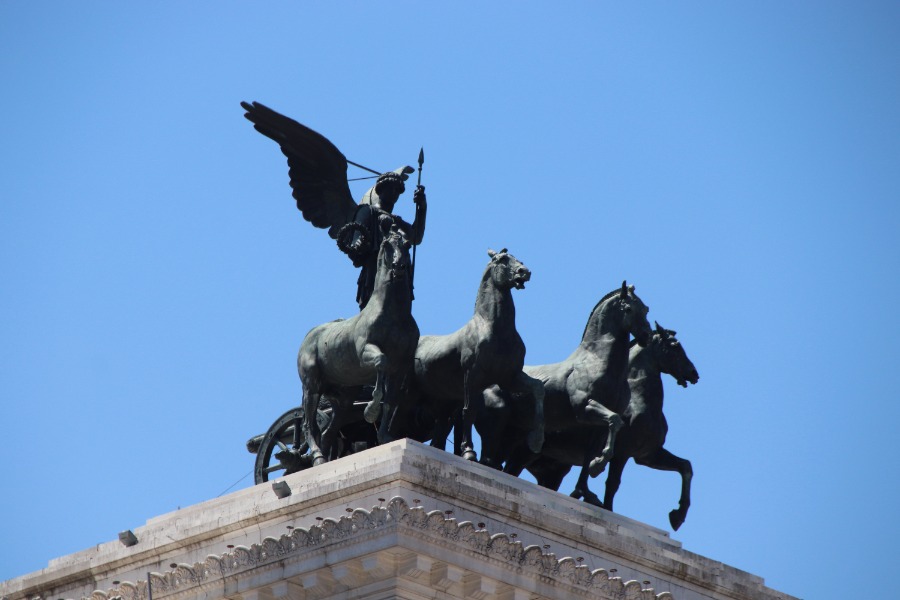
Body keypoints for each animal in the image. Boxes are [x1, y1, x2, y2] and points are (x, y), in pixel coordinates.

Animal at [298, 224, 418, 464]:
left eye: (407, 244)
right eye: (386, 244)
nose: (399, 266)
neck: (394, 315)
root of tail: (309, 336)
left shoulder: (401, 368)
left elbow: (391, 401)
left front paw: (385, 436)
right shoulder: (366, 353)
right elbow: (381, 362)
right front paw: (370, 411)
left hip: (342, 399)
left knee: (328, 431)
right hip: (312, 387)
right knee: (308, 424)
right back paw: (317, 457)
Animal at [414, 247, 544, 460]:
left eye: (520, 260)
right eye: (502, 259)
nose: (524, 272)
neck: (496, 329)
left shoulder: (510, 377)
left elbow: (539, 388)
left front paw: (536, 440)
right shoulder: (472, 376)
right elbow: (469, 410)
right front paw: (468, 452)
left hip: (444, 400)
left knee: (440, 430)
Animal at [482, 282, 652, 502]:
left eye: (645, 309)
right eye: (629, 309)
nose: (647, 336)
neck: (598, 361)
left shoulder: (596, 427)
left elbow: (598, 444)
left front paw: (586, 488)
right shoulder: (585, 409)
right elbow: (615, 420)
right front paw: (598, 466)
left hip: (515, 441)